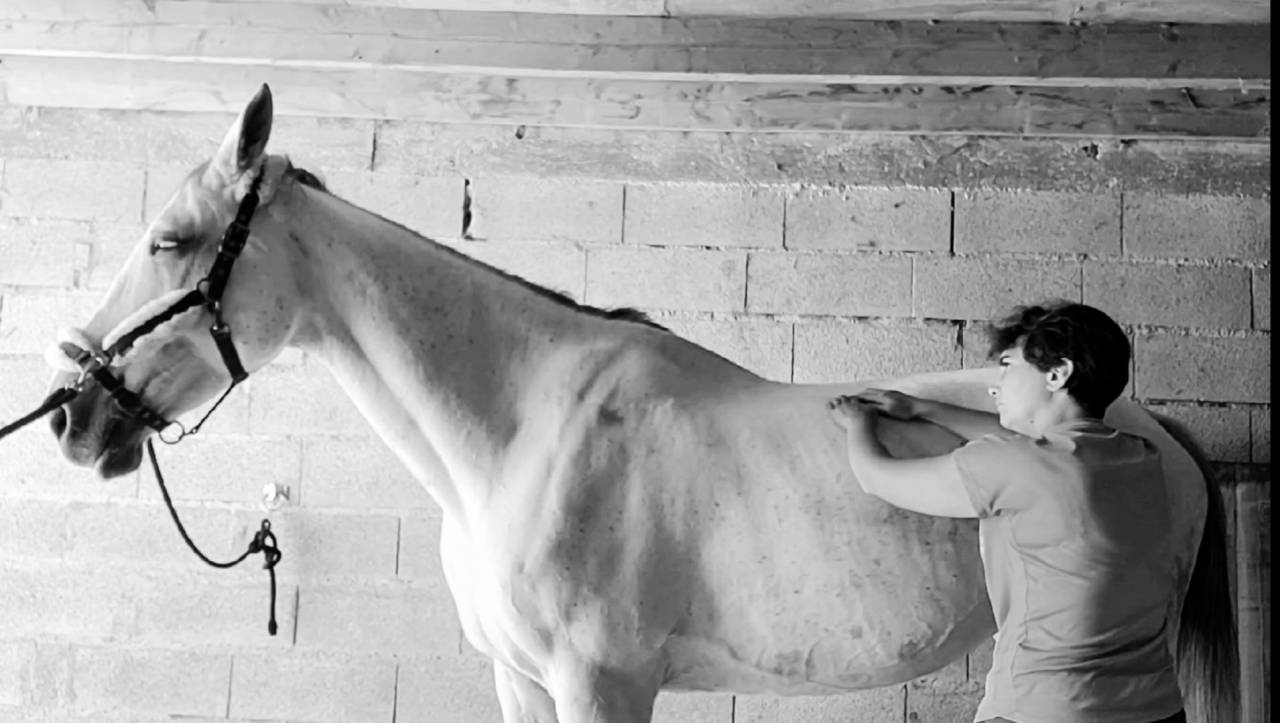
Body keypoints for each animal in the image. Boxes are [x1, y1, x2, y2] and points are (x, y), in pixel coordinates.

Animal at [43, 85, 1237, 723]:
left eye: (169, 240)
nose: (69, 416)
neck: (520, 432)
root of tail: (1156, 434)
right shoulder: (521, 682)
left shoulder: (601, 684)